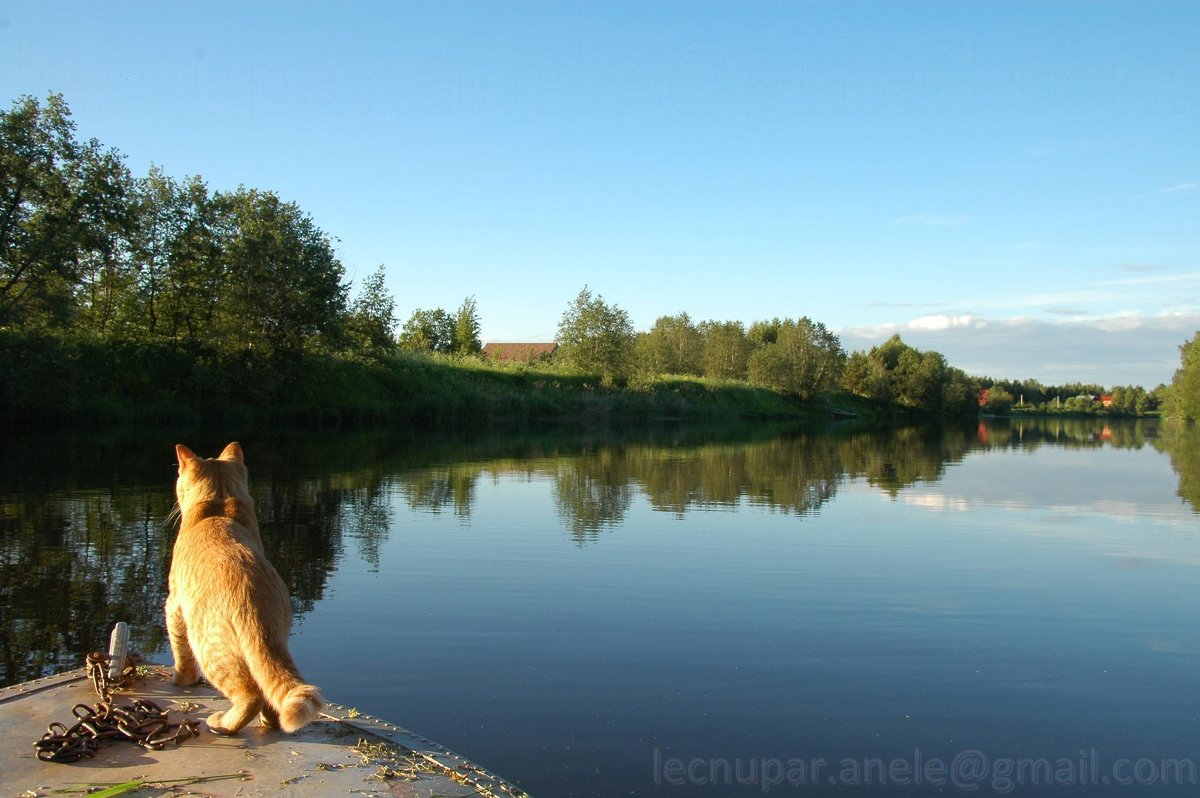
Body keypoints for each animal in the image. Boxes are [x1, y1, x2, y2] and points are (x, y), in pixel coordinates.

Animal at [166, 441, 324, 734]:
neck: (218, 505)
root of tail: (252, 593)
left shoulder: (173, 605)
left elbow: (179, 651)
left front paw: (182, 679)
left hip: (209, 647)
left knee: (250, 695)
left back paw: (221, 725)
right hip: (271, 644)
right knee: (267, 687)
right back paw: (268, 723)